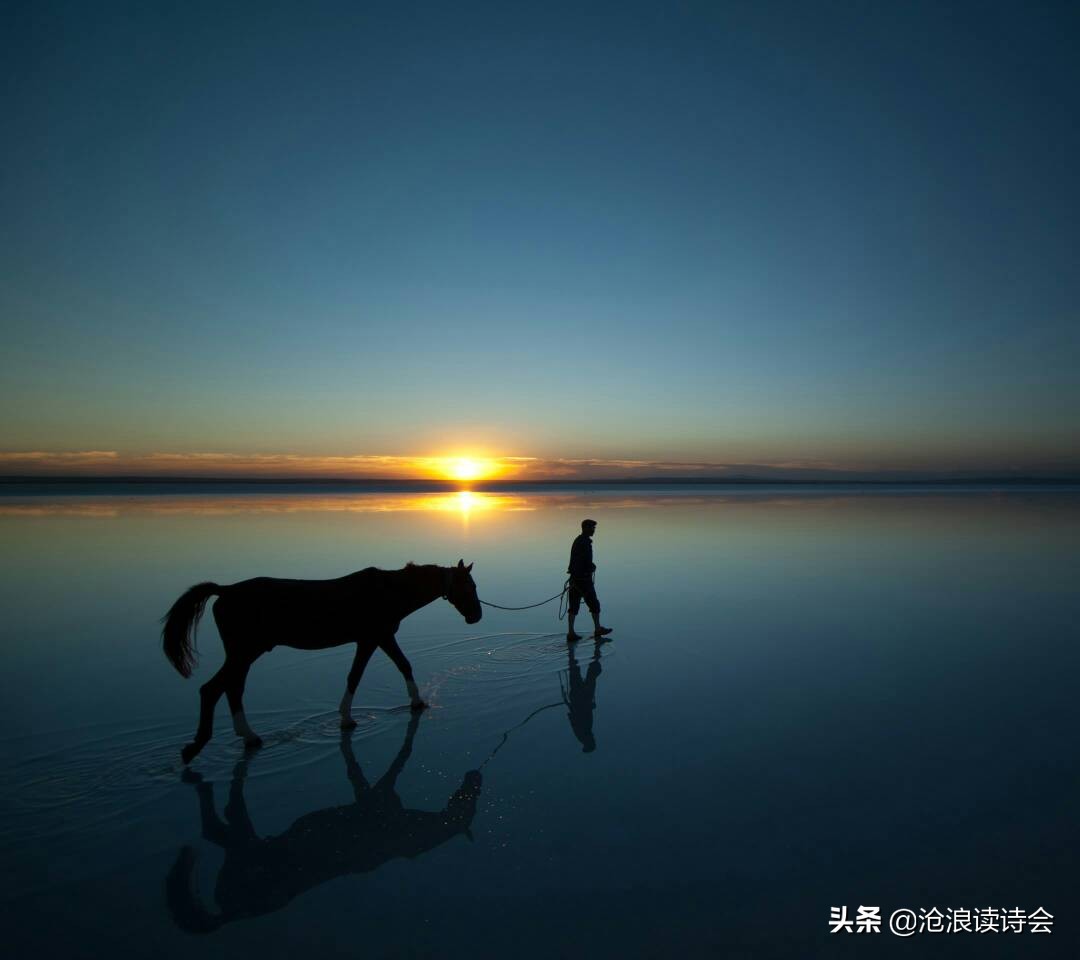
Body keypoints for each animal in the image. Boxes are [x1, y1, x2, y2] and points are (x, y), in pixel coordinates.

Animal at [160, 557, 481, 760]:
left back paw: (248, 737)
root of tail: (224, 591)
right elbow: (359, 675)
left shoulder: (378, 639)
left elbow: (402, 665)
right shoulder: (373, 638)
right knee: (213, 689)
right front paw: (348, 718)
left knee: (232, 688)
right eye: (470, 587)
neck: (389, 592)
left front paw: (416, 702)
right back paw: (198, 746)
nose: (477, 615)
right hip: (244, 652)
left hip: (243, 654)